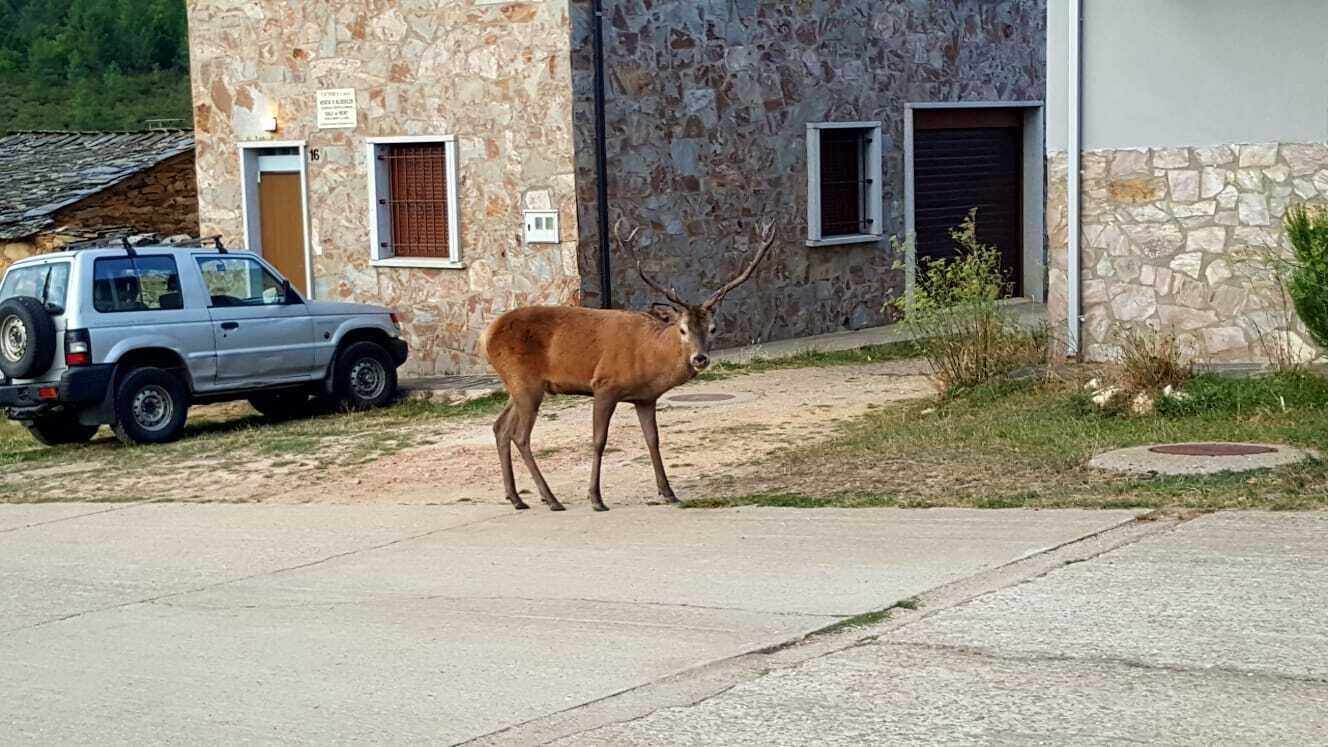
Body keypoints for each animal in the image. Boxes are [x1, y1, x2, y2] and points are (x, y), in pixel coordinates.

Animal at [482, 221, 777, 512]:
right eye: (682, 329)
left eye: (713, 328)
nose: (699, 358)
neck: (648, 357)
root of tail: (487, 334)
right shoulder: (604, 386)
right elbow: (599, 441)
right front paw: (596, 498)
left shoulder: (645, 398)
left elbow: (653, 440)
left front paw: (668, 492)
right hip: (525, 381)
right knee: (520, 436)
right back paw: (551, 499)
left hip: (518, 385)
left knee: (501, 427)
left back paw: (517, 497)